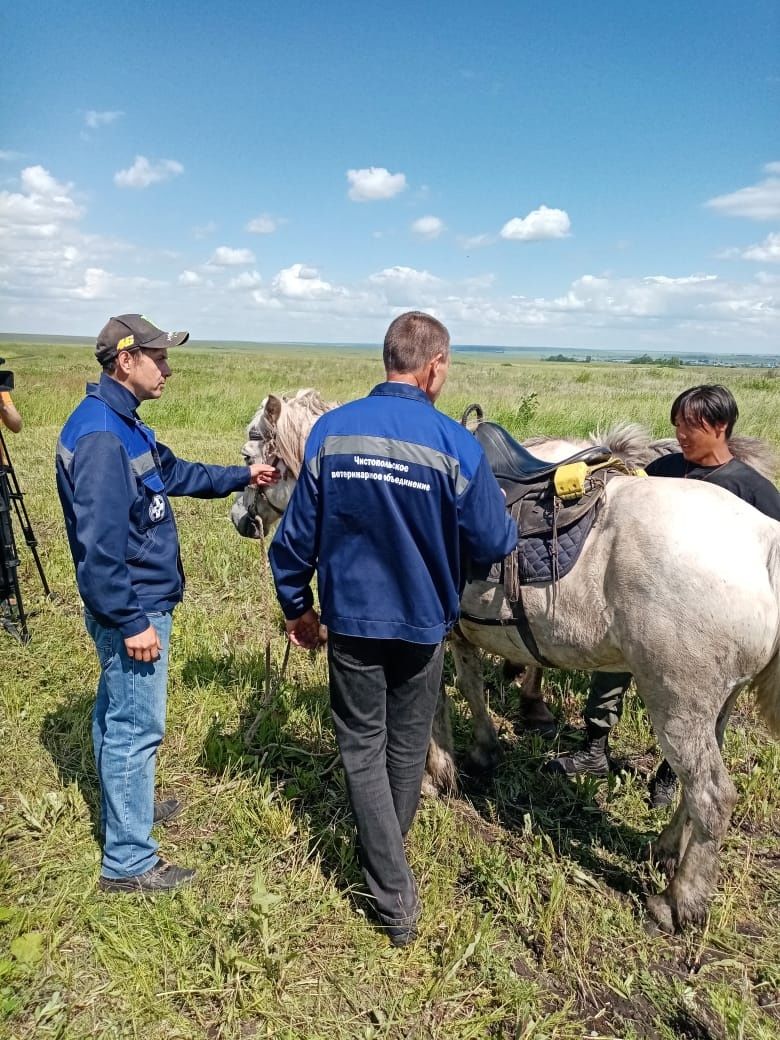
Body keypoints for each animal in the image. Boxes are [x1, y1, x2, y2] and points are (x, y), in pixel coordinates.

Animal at [233, 391, 780, 935]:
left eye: (250, 453)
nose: (240, 518)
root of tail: (763, 542)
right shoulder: (456, 634)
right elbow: (471, 689)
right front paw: (481, 752)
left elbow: (436, 707)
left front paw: (437, 774)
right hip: (713, 706)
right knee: (692, 790)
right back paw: (665, 850)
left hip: (676, 703)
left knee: (712, 797)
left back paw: (678, 902)